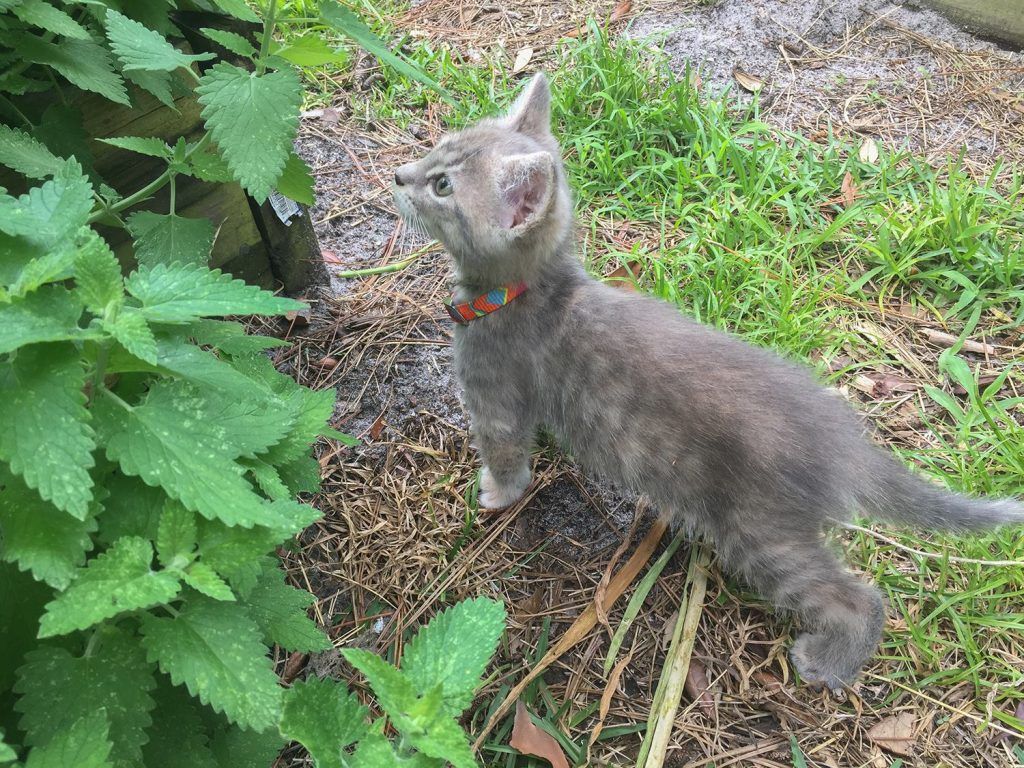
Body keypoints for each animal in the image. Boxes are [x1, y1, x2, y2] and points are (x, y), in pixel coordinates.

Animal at [389, 73, 1015, 692]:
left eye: (442, 186)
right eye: (437, 150)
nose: (399, 175)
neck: (525, 291)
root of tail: (846, 444)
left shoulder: (493, 395)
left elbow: (505, 455)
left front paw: (496, 493)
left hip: (760, 533)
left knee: (853, 597)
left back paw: (830, 659)